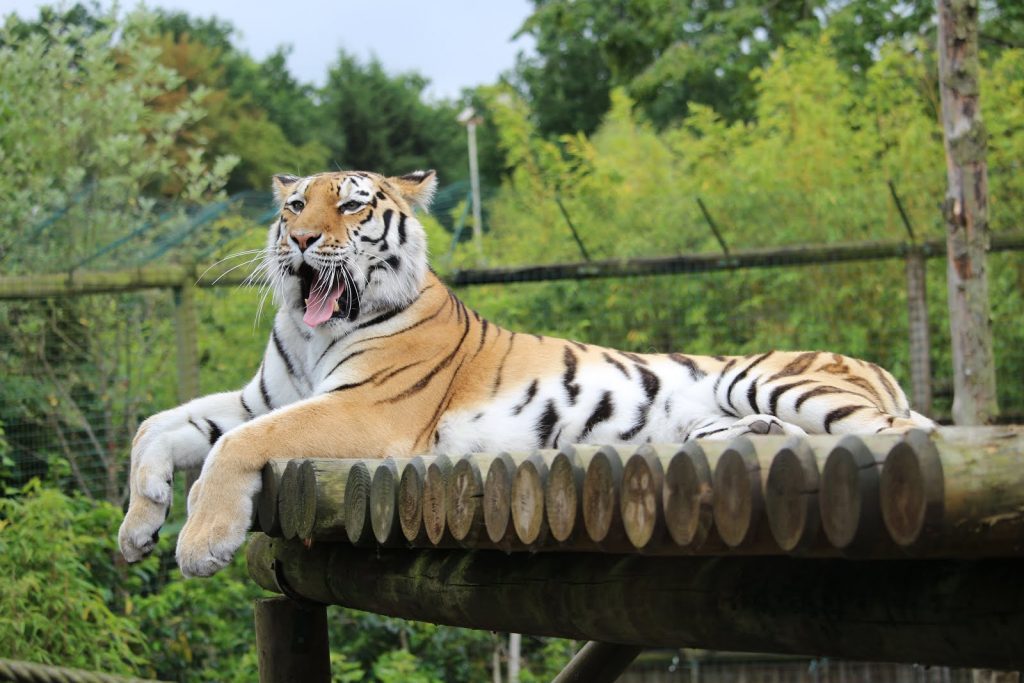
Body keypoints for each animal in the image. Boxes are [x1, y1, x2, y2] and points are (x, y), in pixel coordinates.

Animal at [118, 169, 934, 577]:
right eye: (293, 203)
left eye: (350, 206)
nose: (300, 239)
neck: (313, 330)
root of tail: (875, 365)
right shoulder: (262, 395)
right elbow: (159, 425)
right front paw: (139, 523)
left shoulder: (366, 407)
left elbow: (236, 444)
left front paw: (199, 543)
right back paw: (756, 438)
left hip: (772, 378)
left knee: (900, 431)